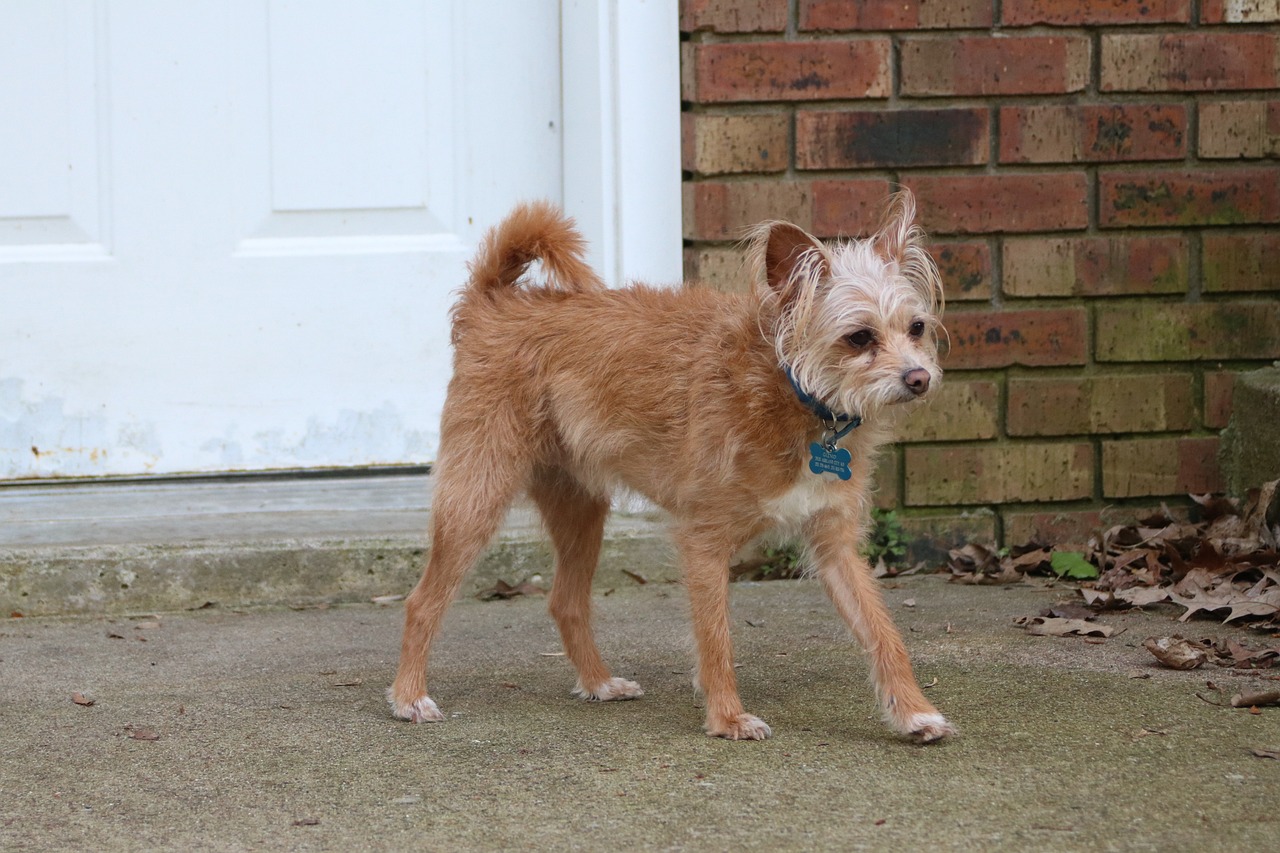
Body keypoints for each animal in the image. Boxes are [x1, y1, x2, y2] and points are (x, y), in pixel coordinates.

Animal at [389, 195, 952, 742]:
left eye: (916, 328)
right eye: (859, 337)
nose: (919, 378)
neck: (791, 390)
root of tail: (494, 302)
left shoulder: (835, 547)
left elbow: (883, 631)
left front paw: (913, 712)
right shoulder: (703, 542)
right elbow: (716, 638)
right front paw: (727, 718)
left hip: (580, 510)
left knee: (565, 601)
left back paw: (598, 682)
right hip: (475, 499)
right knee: (421, 602)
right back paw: (410, 696)